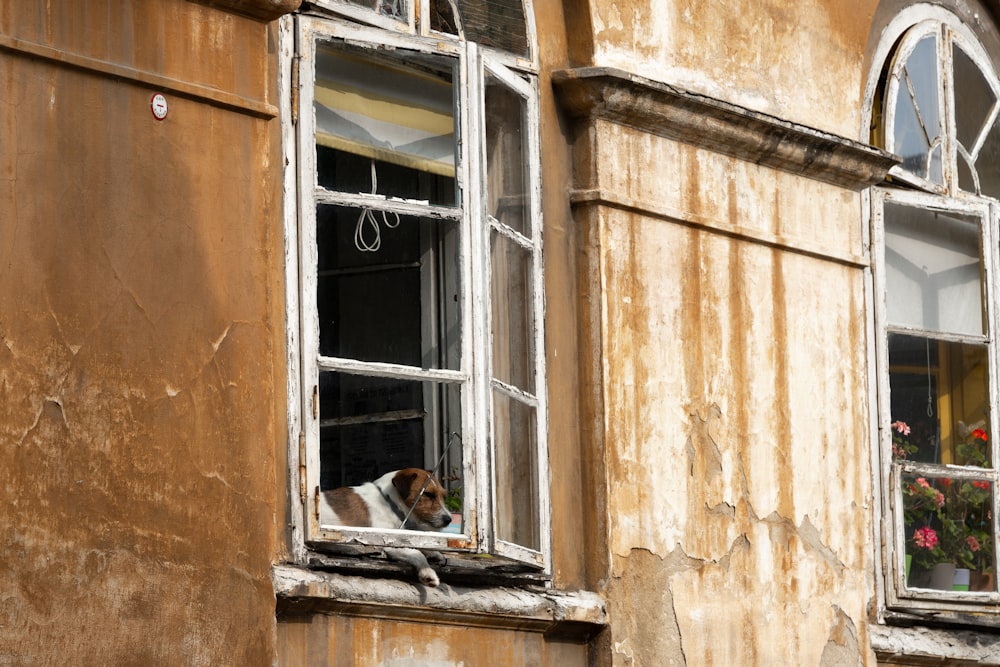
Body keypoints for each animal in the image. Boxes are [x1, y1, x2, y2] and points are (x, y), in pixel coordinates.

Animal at [320, 468, 454, 588]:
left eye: (443, 495)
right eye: (428, 494)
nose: (449, 519)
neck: (389, 502)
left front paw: (434, 553)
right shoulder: (387, 541)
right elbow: (417, 553)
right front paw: (428, 574)